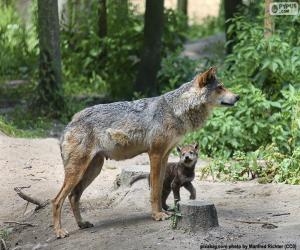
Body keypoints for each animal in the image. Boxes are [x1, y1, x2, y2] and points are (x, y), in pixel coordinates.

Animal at [51, 66, 239, 238]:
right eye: (220, 87)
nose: (238, 97)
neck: (176, 110)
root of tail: (70, 123)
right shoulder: (155, 155)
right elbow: (154, 191)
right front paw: (157, 215)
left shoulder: (164, 157)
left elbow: (160, 188)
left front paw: (164, 211)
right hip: (78, 172)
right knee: (57, 200)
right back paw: (59, 232)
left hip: (93, 170)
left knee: (73, 196)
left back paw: (82, 223)